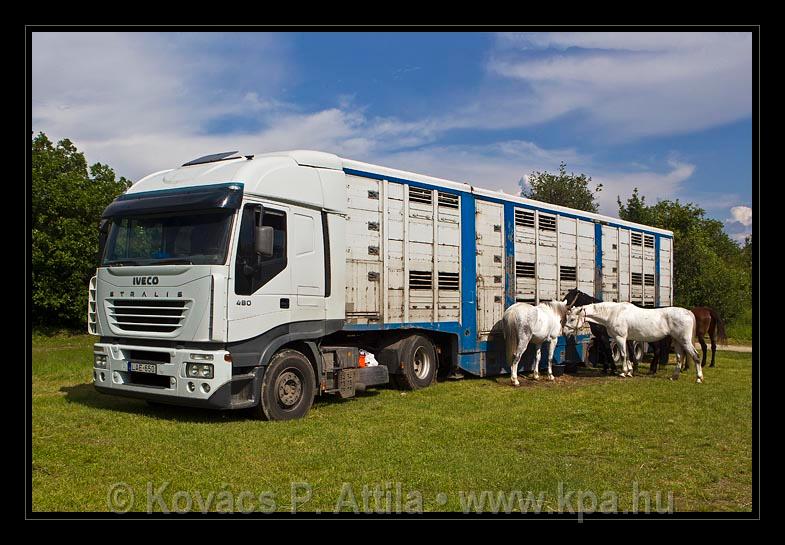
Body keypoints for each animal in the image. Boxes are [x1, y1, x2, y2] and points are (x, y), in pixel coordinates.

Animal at [564, 302, 700, 382]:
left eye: (572, 319)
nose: (564, 332)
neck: (613, 313)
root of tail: (688, 312)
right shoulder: (625, 339)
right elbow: (628, 355)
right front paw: (629, 372)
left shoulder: (620, 337)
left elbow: (623, 355)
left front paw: (623, 373)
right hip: (677, 341)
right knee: (679, 357)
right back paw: (674, 377)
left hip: (685, 341)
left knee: (696, 356)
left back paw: (698, 378)